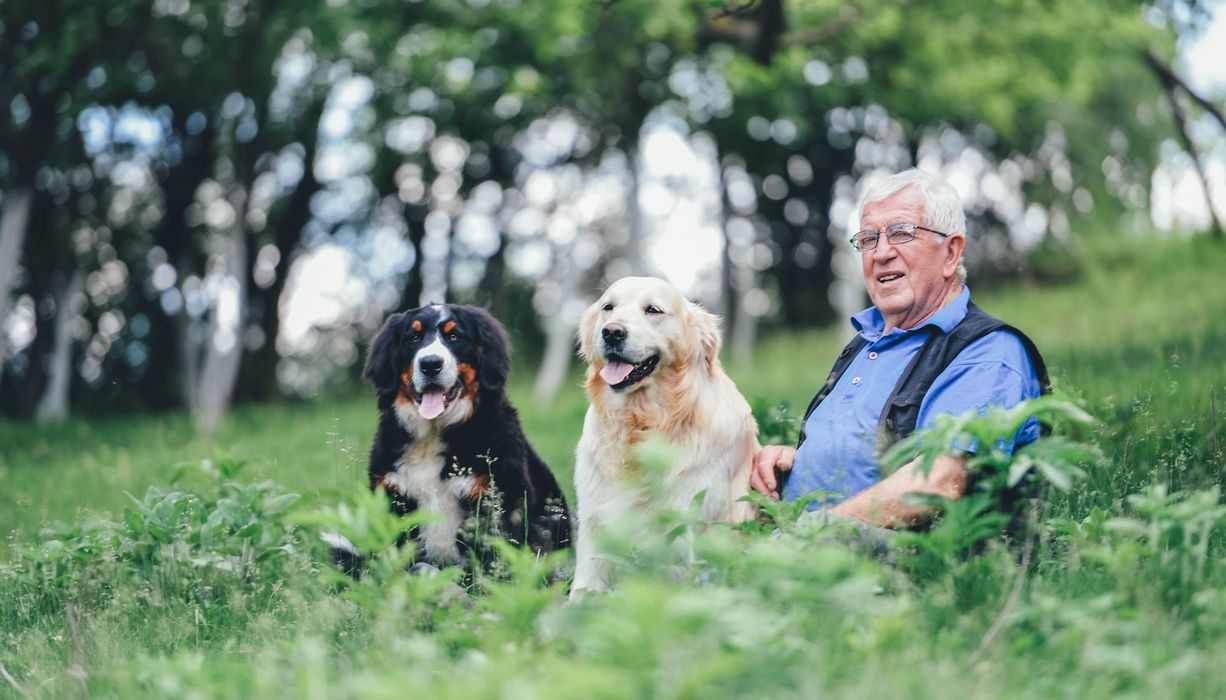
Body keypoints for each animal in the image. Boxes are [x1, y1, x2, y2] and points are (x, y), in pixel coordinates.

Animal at [350, 304, 568, 571]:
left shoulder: (499, 500)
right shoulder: (393, 496)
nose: (430, 364)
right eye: (413, 337)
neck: (433, 434)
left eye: (454, 336)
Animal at [571, 277, 755, 593]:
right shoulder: (595, 524)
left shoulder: (680, 525)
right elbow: (584, 589)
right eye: (608, 307)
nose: (612, 332)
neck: (641, 422)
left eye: (653, 310)